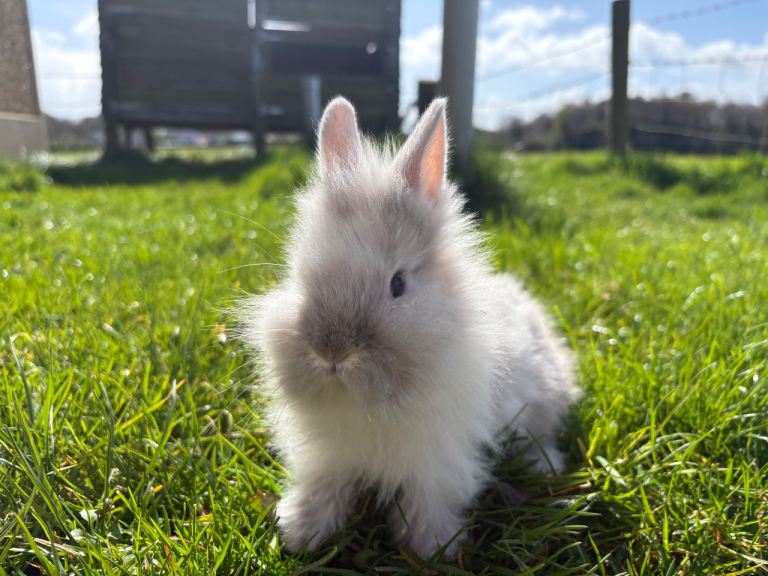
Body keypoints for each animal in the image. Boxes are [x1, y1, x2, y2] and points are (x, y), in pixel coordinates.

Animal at [240, 96, 580, 559]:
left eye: (397, 284)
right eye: (299, 276)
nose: (332, 352)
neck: (369, 405)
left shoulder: (439, 457)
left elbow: (429, 499)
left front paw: (432, 547)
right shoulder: (329, 455)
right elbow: (324, 485)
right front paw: (302, 532)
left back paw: (545, 466)